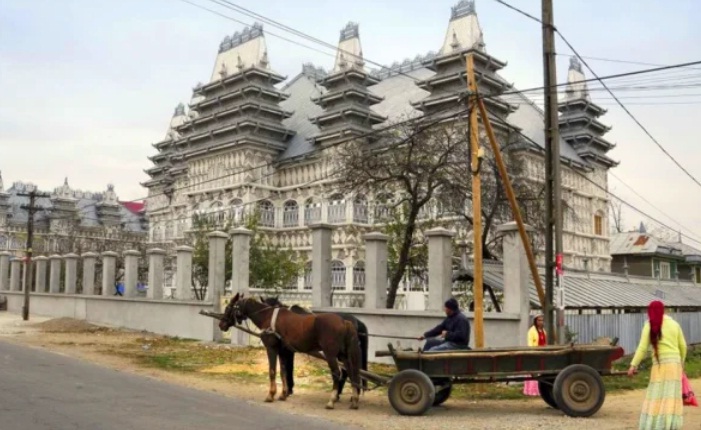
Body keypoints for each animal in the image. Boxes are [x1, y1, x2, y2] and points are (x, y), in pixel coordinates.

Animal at [219, 292, 360, 410]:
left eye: (228, 308)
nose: (221, 324)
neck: (268, 317)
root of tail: (344, 321)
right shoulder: (283, 351)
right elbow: (283, 371)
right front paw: (283, 394)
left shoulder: (272, 348)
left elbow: (272, 371)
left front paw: (271, 395)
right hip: (343, 355)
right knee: (351, 372)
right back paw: (354, 400)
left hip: (330, 354)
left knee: (337, 373)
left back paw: (332, 400)